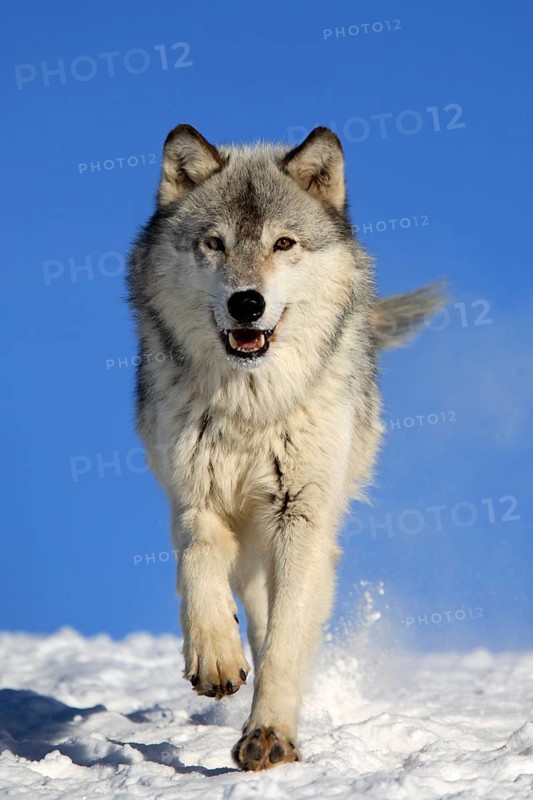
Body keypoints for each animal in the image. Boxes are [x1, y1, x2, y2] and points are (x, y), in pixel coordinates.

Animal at [127, 124, 445, 771]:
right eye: (215, 243)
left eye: (283, 243)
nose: (246, 303)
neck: (253, 407)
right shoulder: (195, 498)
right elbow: (198, 562)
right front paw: (214, 655)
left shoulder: (299, 516)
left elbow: (286, 641)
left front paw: (269, 735)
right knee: (245, 599)